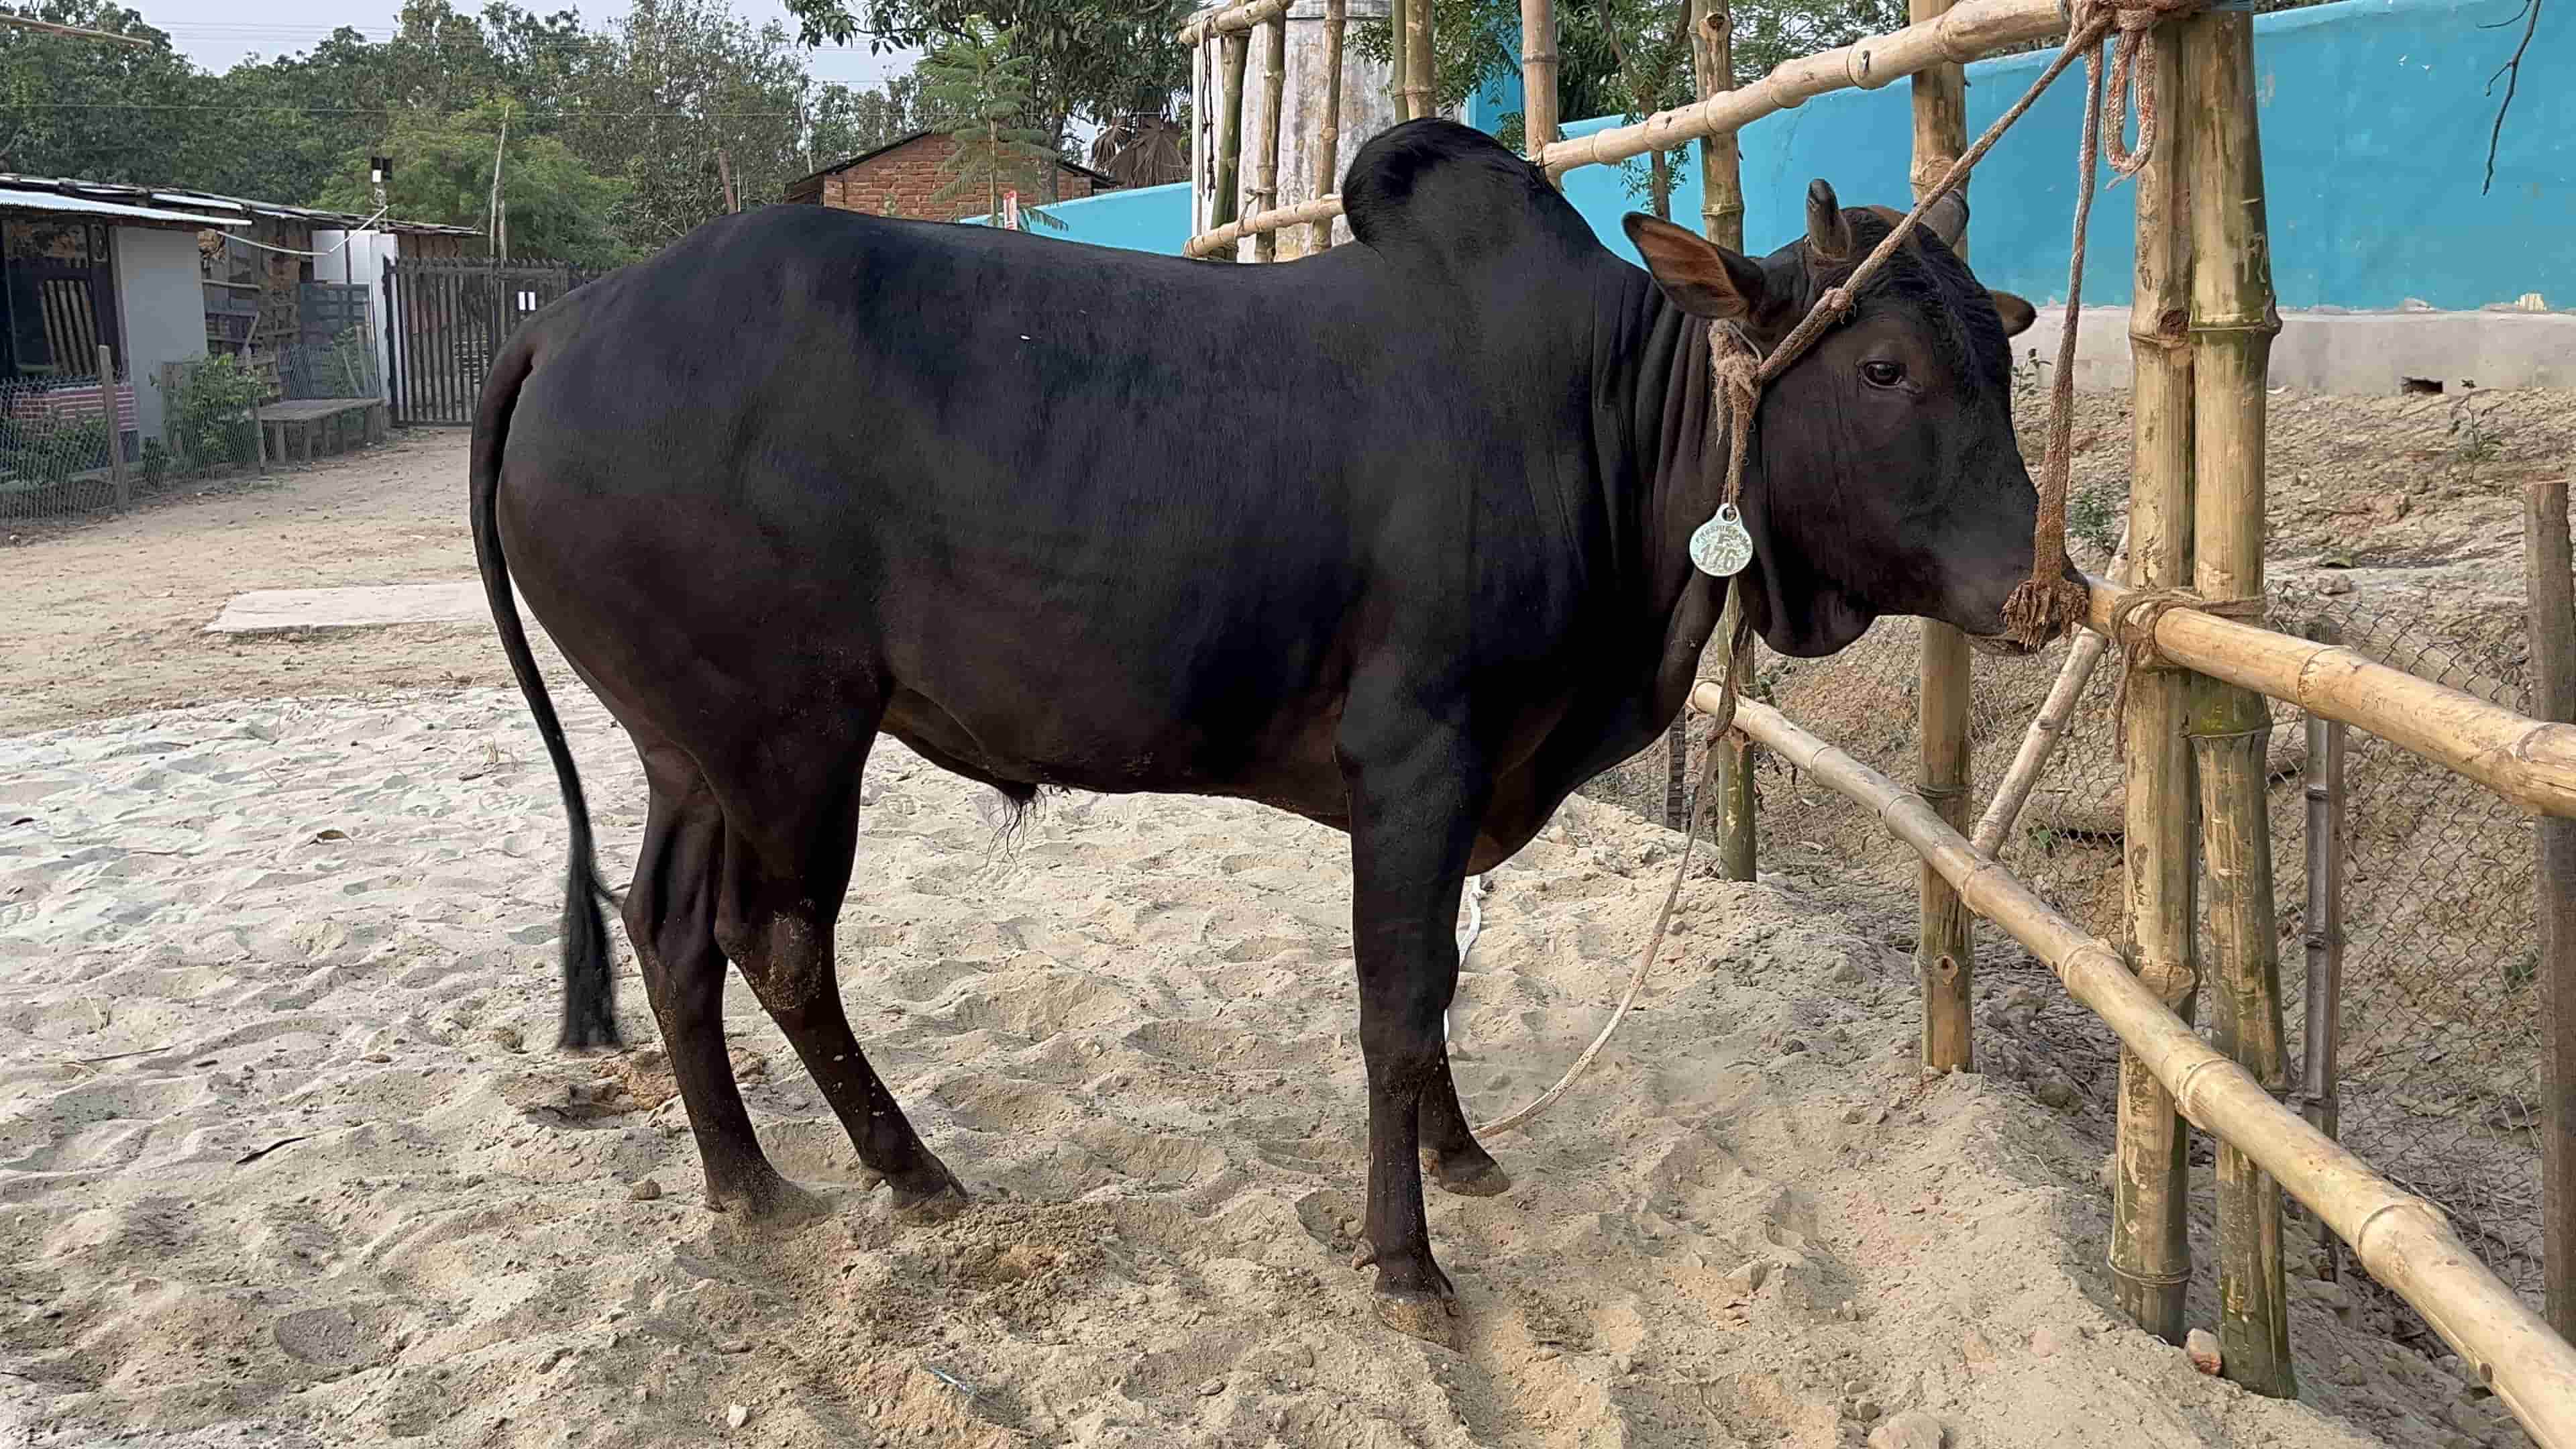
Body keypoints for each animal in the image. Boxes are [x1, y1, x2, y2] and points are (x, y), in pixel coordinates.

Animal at [469, 119, 2048, 1343]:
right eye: (1885, 367)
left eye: (1999, 354)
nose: (2045, 584)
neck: (1601, 421)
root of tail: (568, 319)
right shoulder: (1418, 763)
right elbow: (1400, 1008)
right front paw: (1407, 1260)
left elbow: (1436, 997)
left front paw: (1462, 1155)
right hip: (791, 742)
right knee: (777, 941)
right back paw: (905, 1172)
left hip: (687, 749)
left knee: (669, 930)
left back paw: (749, 1184)